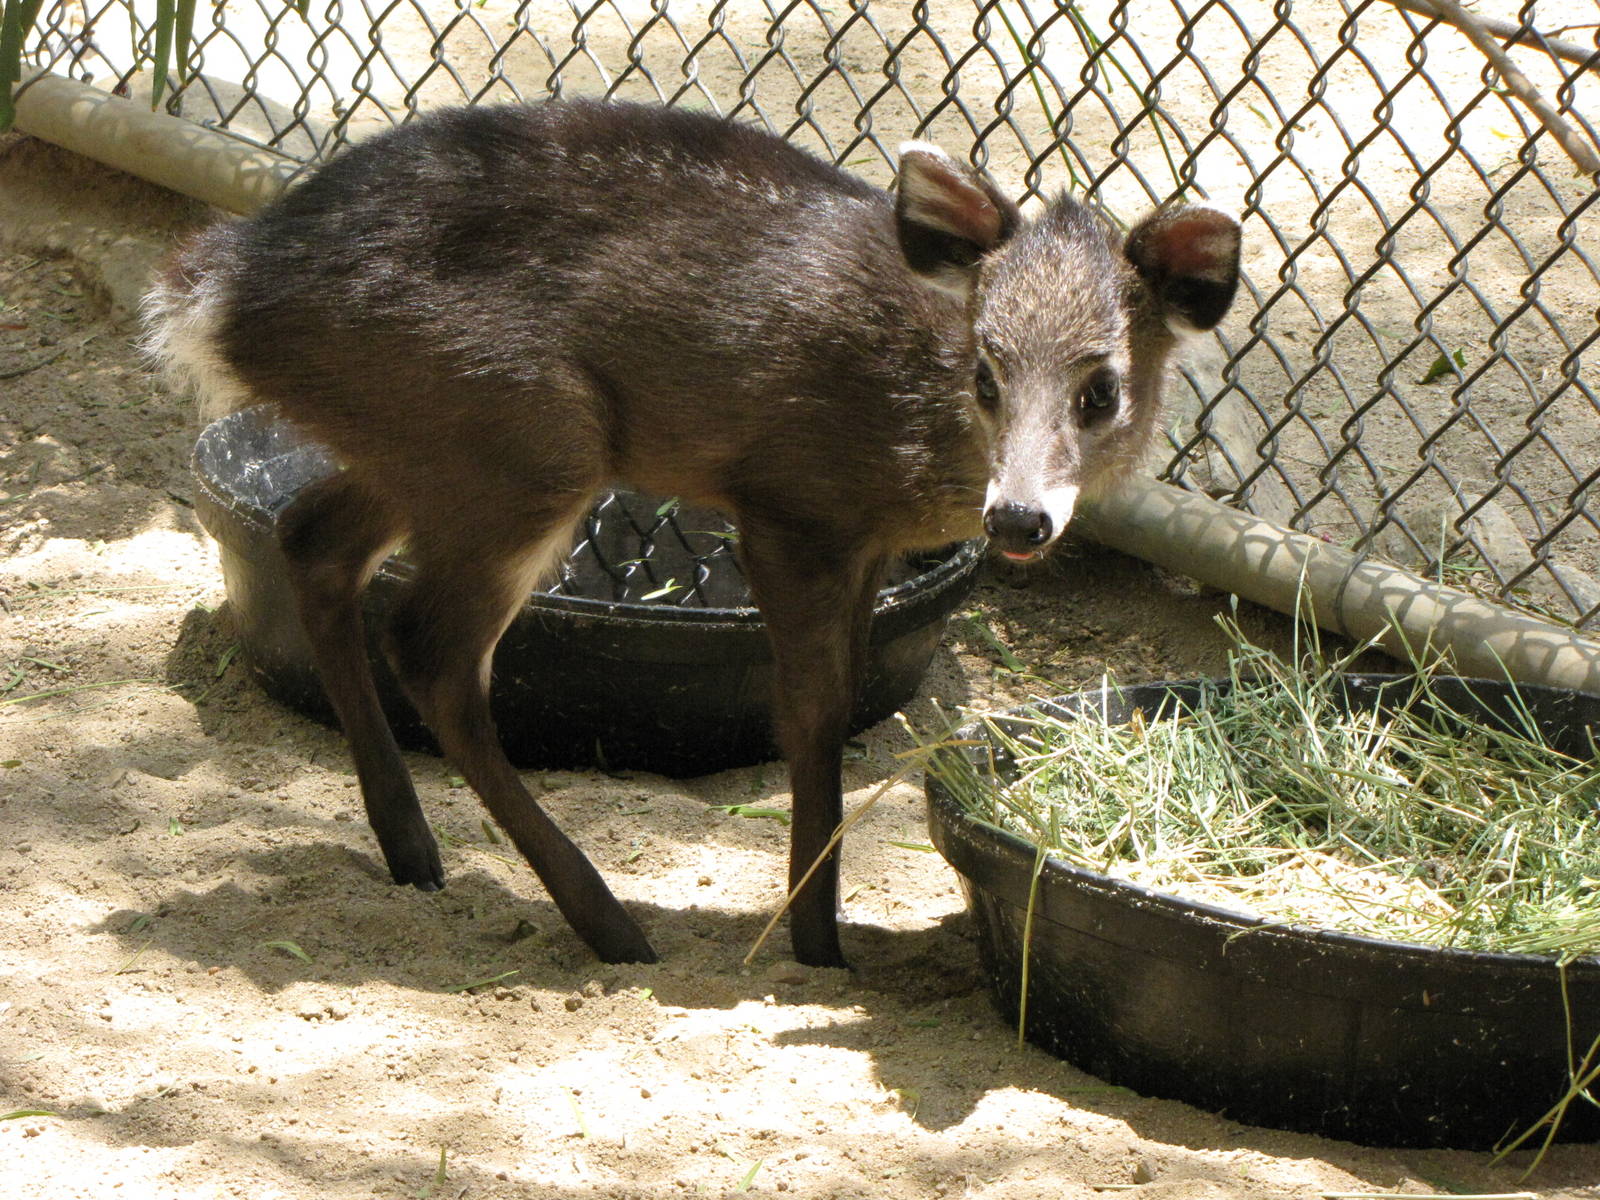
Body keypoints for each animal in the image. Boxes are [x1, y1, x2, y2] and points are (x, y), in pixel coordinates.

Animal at [145, 99, 1241, 969]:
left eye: (1101, 389)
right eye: (986, 372)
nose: (1016, 516)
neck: (906, 403)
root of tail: (220, 291)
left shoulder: (859, 545)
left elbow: (844, 699)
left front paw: (822, 938)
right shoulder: (791, 502)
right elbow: (811, 715)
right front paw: (818, 950)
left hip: (423, 445)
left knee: (311, 537)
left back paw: (414, 853)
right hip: (525, 434)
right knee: (429, 644)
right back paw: (610, 927)